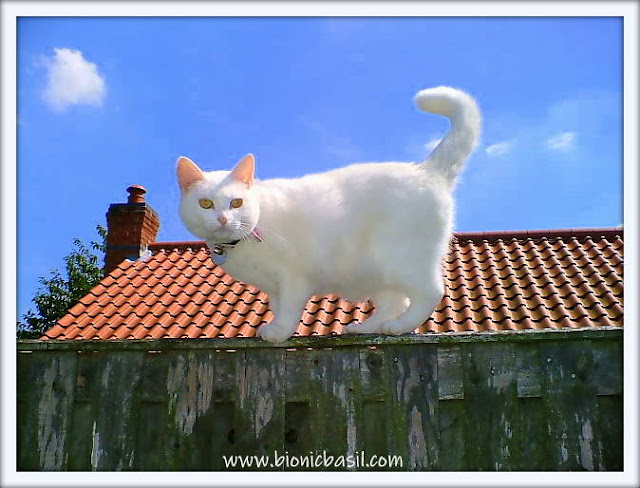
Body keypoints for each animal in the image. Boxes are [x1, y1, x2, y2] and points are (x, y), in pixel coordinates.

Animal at [175, 86, 480, 344]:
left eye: (236, 202)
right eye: (206, 203)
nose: (224, 219)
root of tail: (425, 170)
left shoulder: (293, 277)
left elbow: (288, 308)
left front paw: (279, 332)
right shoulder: (274, 286)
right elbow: (277, 305)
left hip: (402, 259)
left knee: (431, 291)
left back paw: (399, 326)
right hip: (378, 271)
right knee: (395, 302)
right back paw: (367, 327)